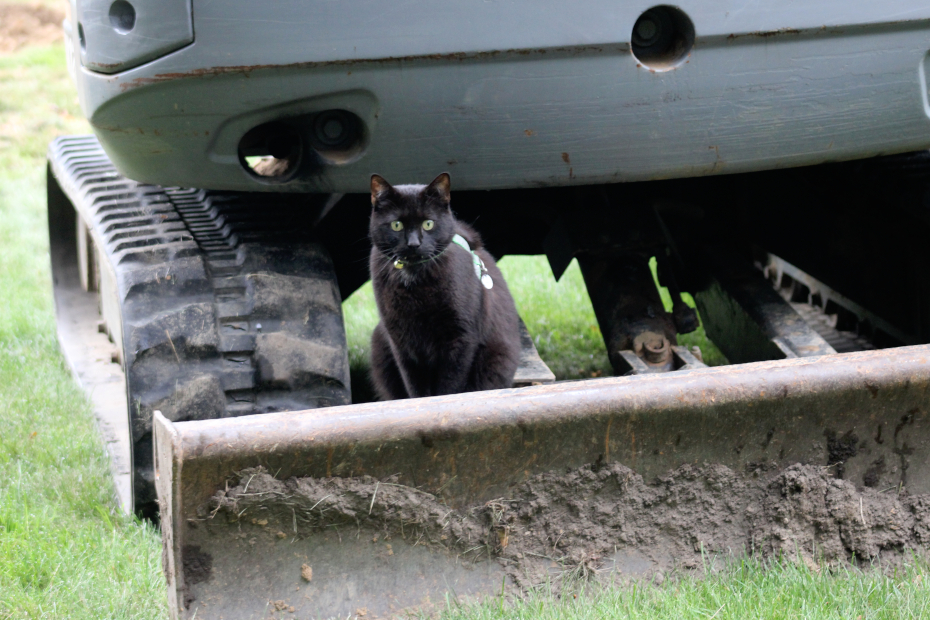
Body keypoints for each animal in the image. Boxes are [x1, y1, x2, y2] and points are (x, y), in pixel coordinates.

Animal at [366, 172, 520, 400]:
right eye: (397, 225)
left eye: (428, 224)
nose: (413, 244)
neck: (414, 277)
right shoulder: (401, 341)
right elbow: (416, 387)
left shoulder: (460, 337)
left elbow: (449, 387)